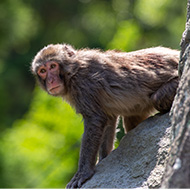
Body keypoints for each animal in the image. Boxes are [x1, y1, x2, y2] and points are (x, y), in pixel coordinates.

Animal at [30, 43, 179, 189]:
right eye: (42, 71)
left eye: (52, 66)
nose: (51, 80)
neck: (72, 71)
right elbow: (109, 119)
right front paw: (103, 159)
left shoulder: (84, 84)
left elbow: (95, 120)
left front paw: (83, 173)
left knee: (157, 99)